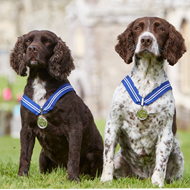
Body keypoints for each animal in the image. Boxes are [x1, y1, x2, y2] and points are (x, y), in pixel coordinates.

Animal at [100, 17, 186, 188]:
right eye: (137, 28)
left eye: (160, 29)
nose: (146, 39)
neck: (146, 81)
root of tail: (143, 176)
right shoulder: (113, 123)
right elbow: (108, 156)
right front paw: (106, 179)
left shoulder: (166, 131)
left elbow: (161, 161)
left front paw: (157, 182)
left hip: (177, 153)